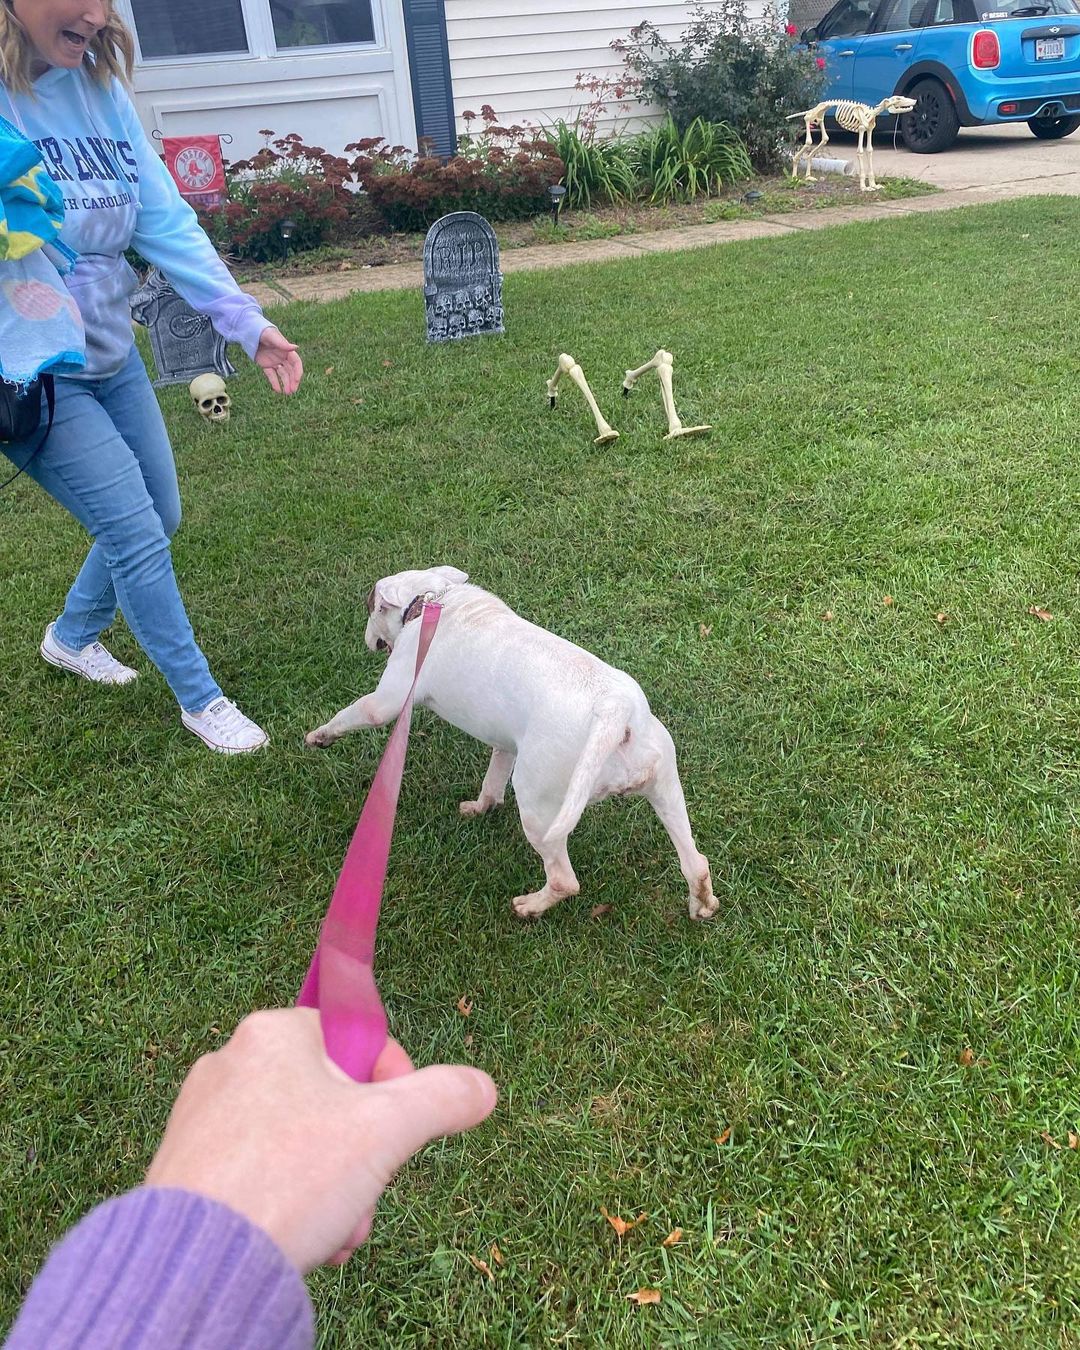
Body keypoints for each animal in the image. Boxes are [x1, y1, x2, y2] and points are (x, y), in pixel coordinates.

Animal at [306, 564, 718, 923]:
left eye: (369, 605)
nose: (368, 640)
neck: (432, 598)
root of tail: (616, 711)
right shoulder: (506, 744)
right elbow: (492, 780)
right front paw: (480, 807)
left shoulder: (387, 700)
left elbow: (353, 713)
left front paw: (319, 736)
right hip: (665, 785)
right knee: (695, 861)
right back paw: (703, 905)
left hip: (539, 804)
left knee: (564, 879)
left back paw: (530, 907)